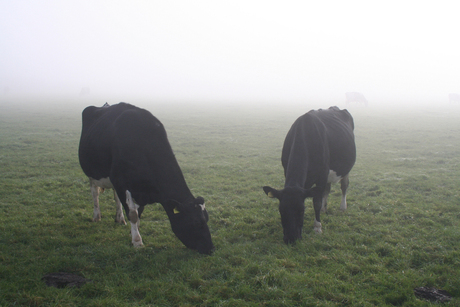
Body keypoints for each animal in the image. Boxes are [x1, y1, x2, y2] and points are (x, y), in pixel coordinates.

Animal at [78, 103, 215, 255]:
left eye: (207, 218)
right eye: (196, 222)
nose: (211, 248)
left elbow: (138, 213)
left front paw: (134, 231)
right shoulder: (122, 183)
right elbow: (133, 214)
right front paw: (137, 241)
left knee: (115, 198)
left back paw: (120, 218)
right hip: (92, 173)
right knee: (94, 193)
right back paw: (97, 216)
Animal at [262, 107, 356, 244]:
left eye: (302, 210)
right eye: (281, 210)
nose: (291, 239)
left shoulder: (322, 175)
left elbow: (316, 201)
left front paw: (317, 227)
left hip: (345, 167)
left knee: (344, 185)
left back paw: (342, 207)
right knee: (327, 189)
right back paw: (324, 209)